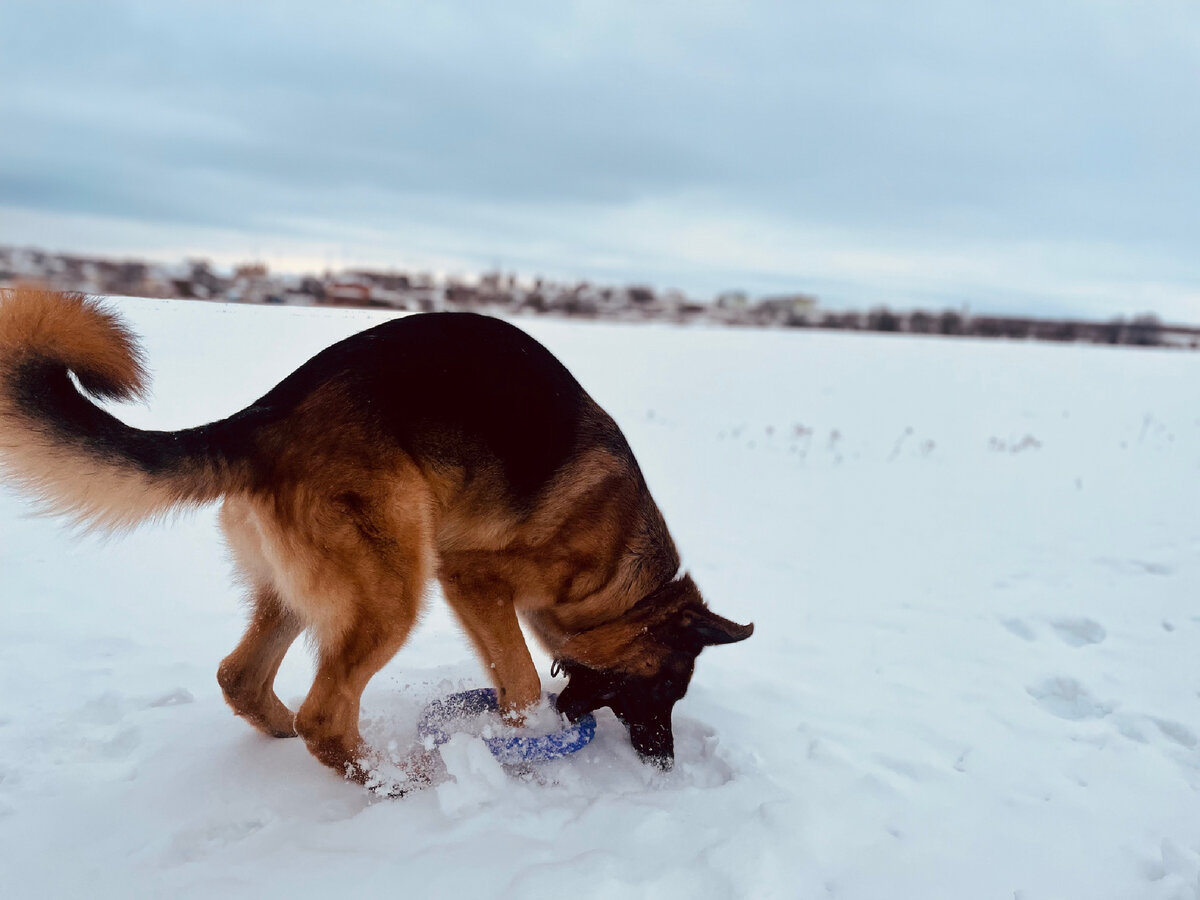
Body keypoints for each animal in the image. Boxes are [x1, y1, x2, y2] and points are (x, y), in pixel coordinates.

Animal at [0, 286, 748, 787]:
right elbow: (522, 677)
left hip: (303, 593)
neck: (622, 580)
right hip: (393, 589)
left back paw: (285, 734)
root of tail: (262, 421)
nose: (664, 762)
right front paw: (523, 739)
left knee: (242, 678)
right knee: (324, 715)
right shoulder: (469, 577)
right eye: (662, 688)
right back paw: (397, 779)